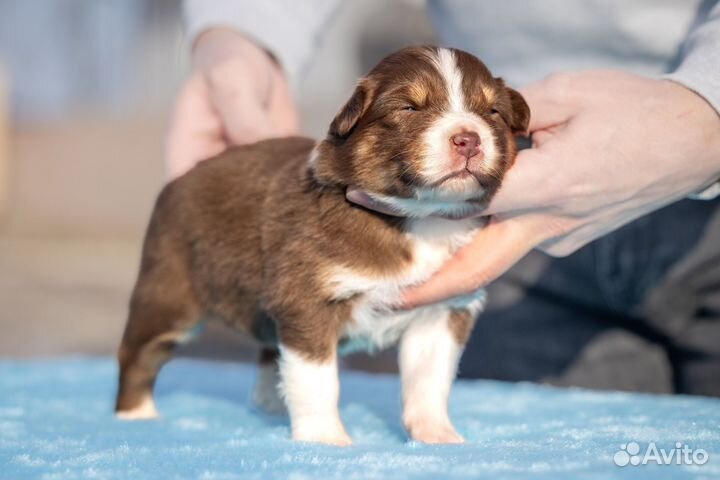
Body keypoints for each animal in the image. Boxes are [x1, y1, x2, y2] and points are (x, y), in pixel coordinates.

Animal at [114, 46, 528, 446]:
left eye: (492, 111)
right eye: (410, 108)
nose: (468, 139)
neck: (419, 219)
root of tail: (179, 181)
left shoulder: (443, 310)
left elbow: (429, 380)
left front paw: (437, 435)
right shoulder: (307, 299)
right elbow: (317, 379)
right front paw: (325, 439)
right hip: (168, 292)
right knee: (137, 353)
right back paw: (136, 415)